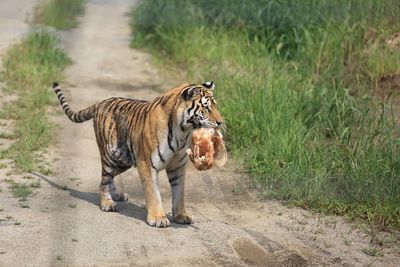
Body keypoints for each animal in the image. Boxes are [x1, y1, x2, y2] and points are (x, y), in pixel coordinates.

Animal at [51, 81, 223, 228]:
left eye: (215, 105)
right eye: (206, 107)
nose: (221, 122)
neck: (183, 131)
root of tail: (101, 102)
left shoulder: (178, 167)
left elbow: (179, 193)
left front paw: (181, 216)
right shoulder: (147, 164)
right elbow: (153, 193)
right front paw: (158, 218)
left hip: (123, 160)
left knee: (109, 178)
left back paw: (117, 195)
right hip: (111, 155)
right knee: (103, 181)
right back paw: (107, 203)